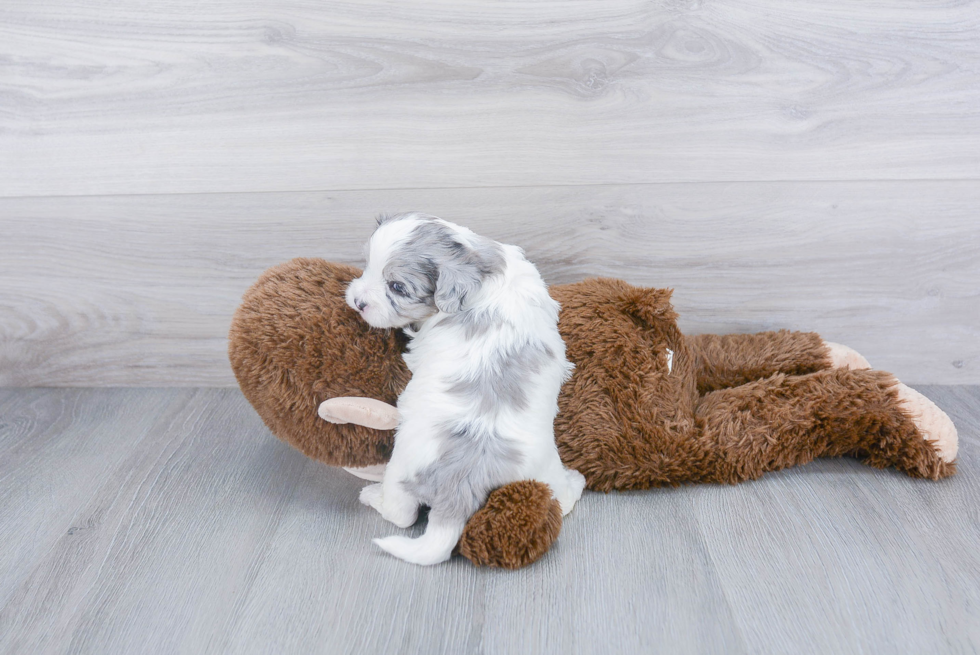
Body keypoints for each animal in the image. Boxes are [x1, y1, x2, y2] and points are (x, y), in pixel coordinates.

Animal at [348, 213, 584, 568]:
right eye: (367, 265)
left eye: (397, 287)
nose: (358, 302)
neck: (478, 264)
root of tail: (463, 481)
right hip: (542, 471)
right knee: (562, 501)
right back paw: (576, 483)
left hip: (400, 470)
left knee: (401, 515)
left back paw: (371, 496)